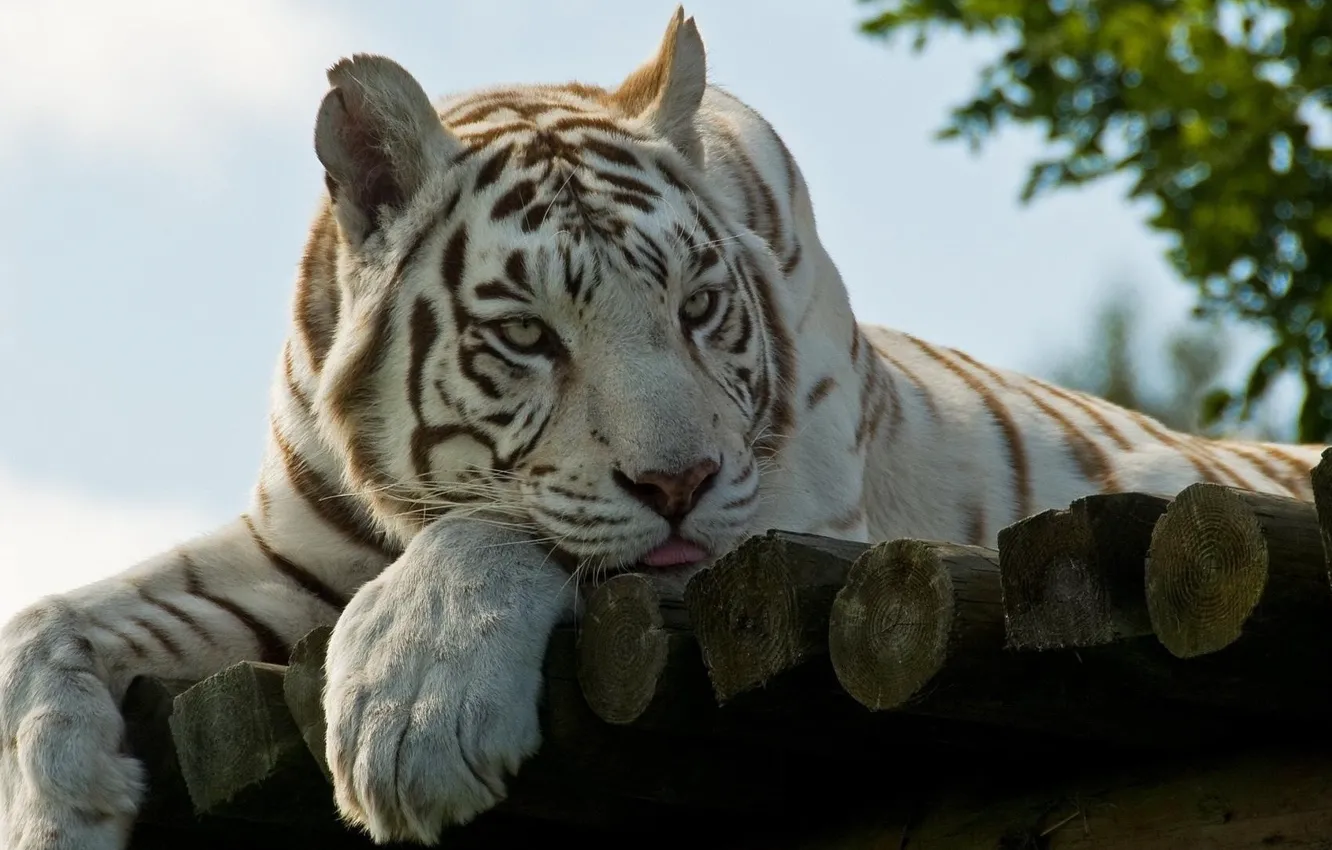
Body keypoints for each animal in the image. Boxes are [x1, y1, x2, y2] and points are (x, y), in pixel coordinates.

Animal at [1, 7, 1323, 849]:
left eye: (695, 307)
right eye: (527, 334)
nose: (678, 480)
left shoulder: (782, 515)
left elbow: (518, 530)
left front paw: (411, 713)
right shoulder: (290, 548)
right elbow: (43, 621)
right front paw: (54, 806)